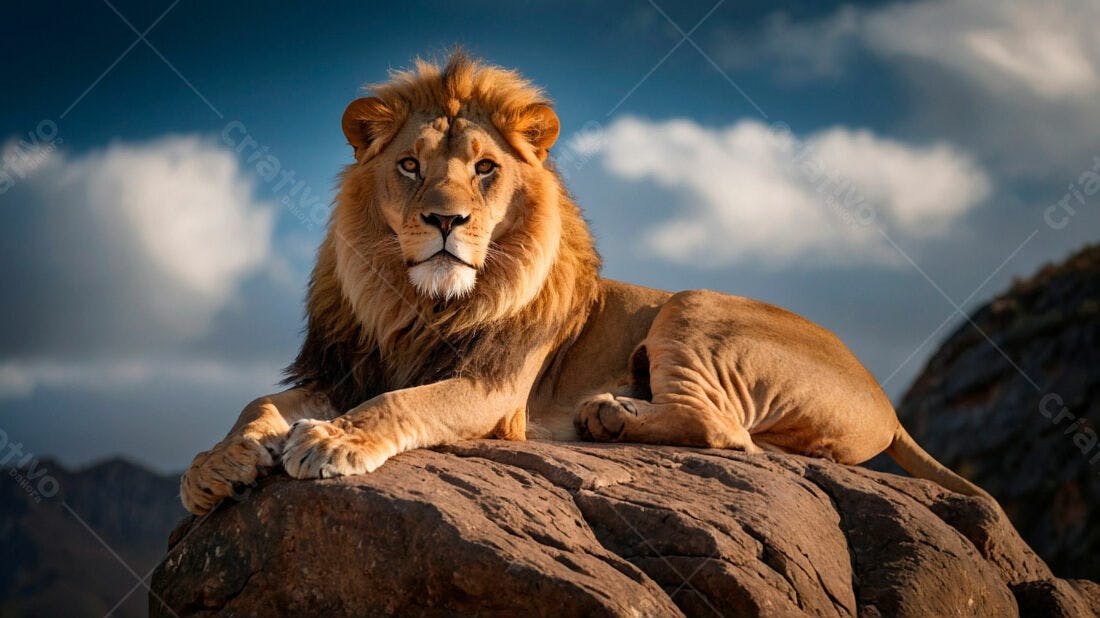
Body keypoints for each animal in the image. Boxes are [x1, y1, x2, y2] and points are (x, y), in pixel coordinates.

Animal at [180, 53, 993, 515]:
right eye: (409, 166)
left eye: (485, 168)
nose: (445, 220)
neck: (414, 303)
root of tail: (886, 403)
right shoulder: (345, 366)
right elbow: (259, 403)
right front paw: (215, 466)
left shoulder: (494, 387)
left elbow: (401, 403)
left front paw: (334, 441)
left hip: (694, 307)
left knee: (727, 432)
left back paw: (609, 415)